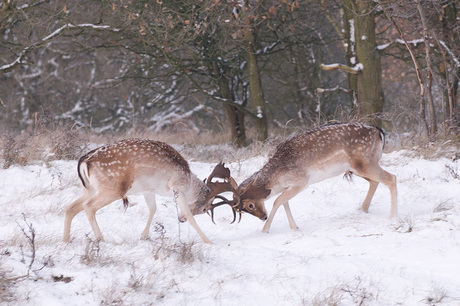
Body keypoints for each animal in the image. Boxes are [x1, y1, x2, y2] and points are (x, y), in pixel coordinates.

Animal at [62, 139, 230, 244]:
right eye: (204, 209)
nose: (180, 219)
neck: (189, 184)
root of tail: (84, 161)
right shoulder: (176, 188)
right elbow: (190, 216)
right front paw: (209, 241)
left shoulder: (148, 190)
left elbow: (153, 209)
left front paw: (144, 236)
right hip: (113, 188)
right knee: (88, 206)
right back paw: (100, 239)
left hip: (88, 188)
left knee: (70, 207)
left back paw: (66, 239)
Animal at [217, 123, 398, 233]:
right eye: (243, 210)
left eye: (250, 205)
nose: (263, 217)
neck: (277, 179)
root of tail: (379, 131)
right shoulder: (289, 187)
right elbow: (284, 202)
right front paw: (294, 227)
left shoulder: (301, 182)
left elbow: (277, 201)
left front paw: (265, 230)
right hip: (356, 168)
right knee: (376, 181)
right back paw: (363, 209)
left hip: (364, 163)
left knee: (391, 178)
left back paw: (393, 216)